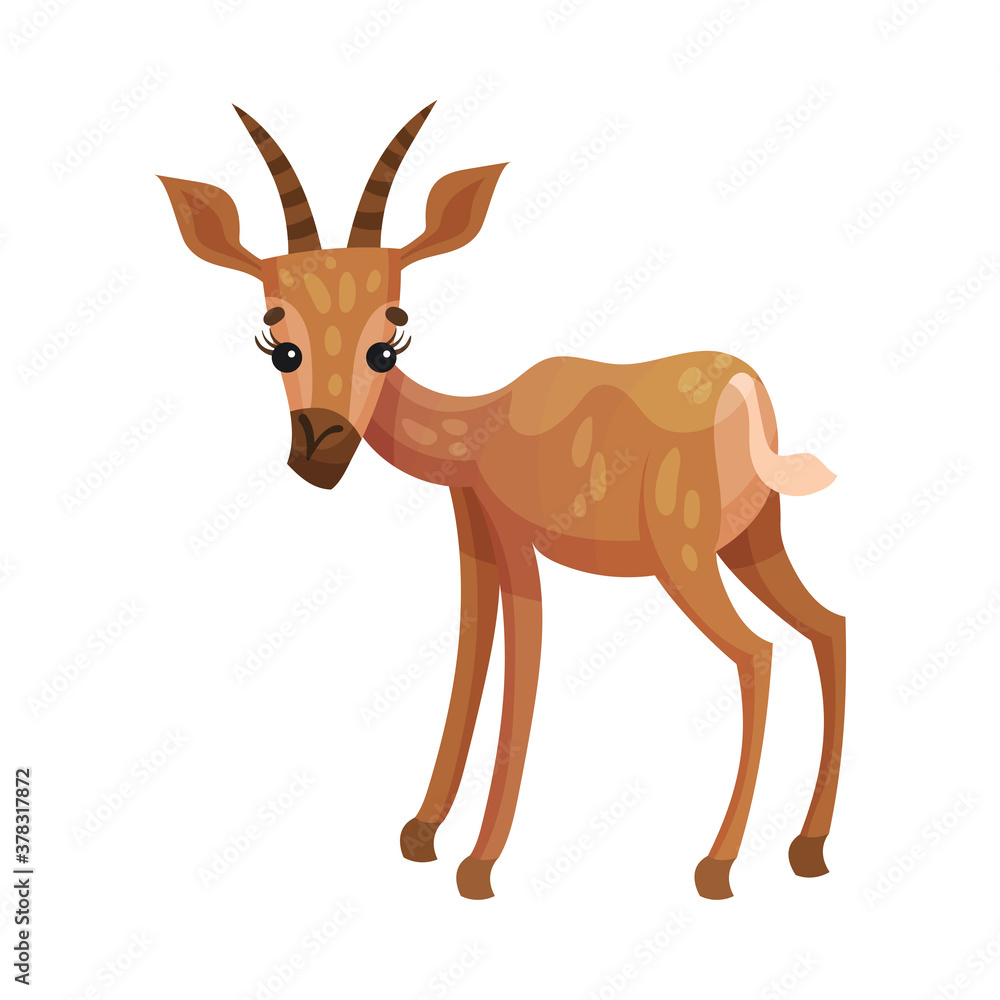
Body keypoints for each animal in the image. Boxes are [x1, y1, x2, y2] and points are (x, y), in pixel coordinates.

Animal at [159, 104, 845, 900]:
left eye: (390, 334)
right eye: (278, 337)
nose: (320, 454)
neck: (480, 427)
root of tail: (744, 395)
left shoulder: (520, 547)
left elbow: (522, 666)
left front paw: (479, 865)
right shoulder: (476, 543)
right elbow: (471, 653)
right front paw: (420, 835)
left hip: (687, 561)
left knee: (757, 653)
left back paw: (716, 866)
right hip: (752, 544)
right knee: (828, 628)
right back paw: (807, 849)